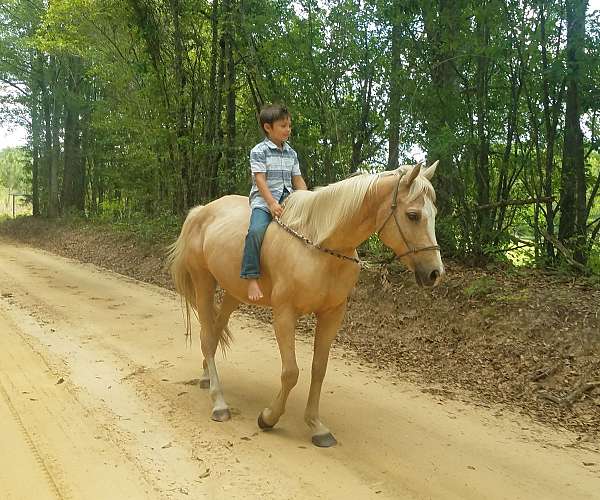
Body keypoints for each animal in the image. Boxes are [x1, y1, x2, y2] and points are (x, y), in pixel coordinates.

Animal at [166, 162, 442, 448]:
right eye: (412, 215)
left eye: (434, 213)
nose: (435, 273)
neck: (319, 246)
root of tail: (201, 211)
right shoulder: (284, 313)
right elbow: (291, 372)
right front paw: (268, 417)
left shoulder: (332, 314)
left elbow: (318, 369)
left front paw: (316, 426)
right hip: (203, 282)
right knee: (208, 337)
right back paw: (219, 403)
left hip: (234, 292)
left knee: (215, 330)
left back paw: (206, 376)